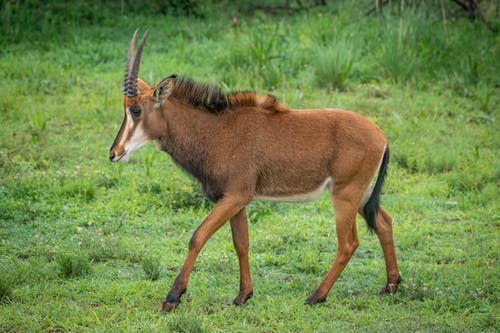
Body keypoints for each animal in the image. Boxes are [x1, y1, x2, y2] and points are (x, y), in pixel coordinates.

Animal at [110, 29, 402, 312]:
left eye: (136, 110)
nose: (114, 153)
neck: (216, 132)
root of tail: (380, 135)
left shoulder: (236, 196)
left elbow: (198, 236)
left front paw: (173, 297)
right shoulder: (235, 199)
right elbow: (241, 243)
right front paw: (243, 296)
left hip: (344, 194)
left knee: (348, 243)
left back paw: (316, 296)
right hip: (361, 193)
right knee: (384, 222)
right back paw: (390, 286)